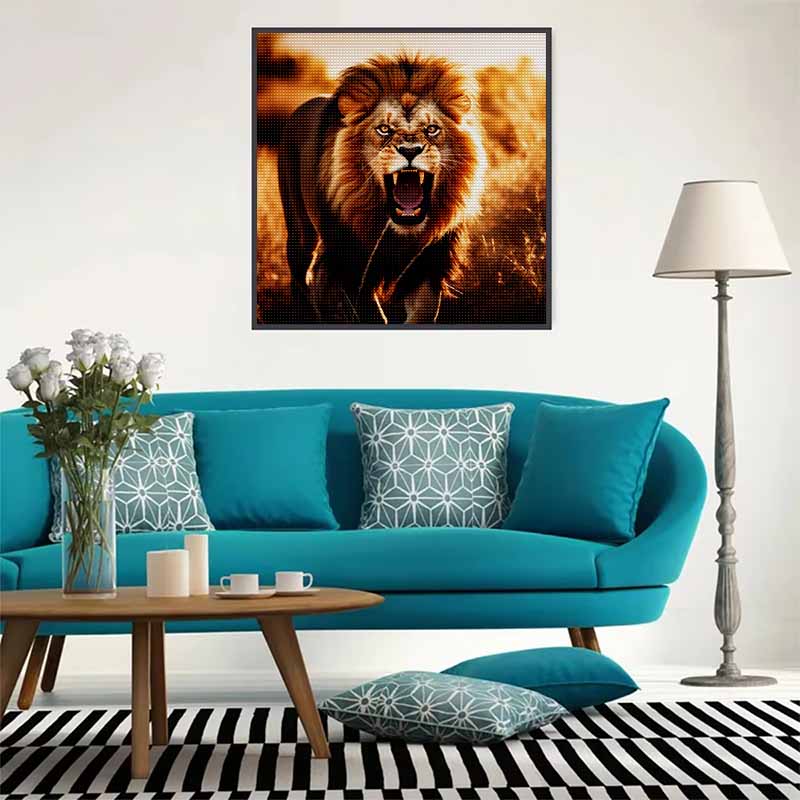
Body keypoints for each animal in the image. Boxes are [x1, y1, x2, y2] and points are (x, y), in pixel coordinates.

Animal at [277, 53, 486, 324]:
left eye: (432, 129)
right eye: (384, 129)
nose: (410, 150)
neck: (399, 228)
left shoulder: (429, 260)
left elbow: (425, 311)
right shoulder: (353, 262)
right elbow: (371, 314)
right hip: (301, 231)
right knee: (301, 276)